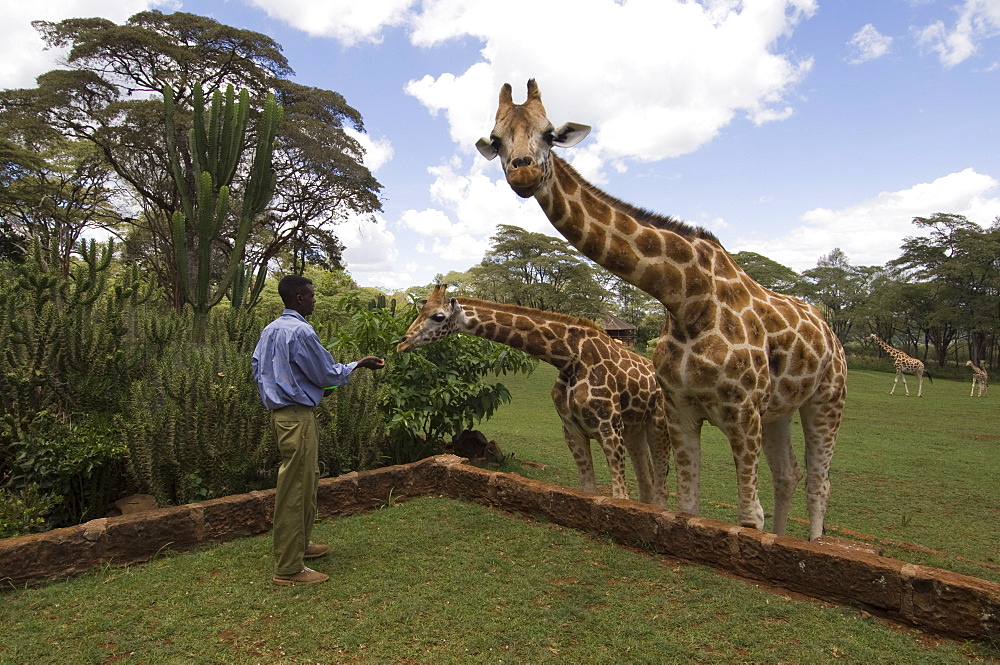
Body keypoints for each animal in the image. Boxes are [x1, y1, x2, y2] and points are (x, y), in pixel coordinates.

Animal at [394, 282, 668, 506]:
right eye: (420, 312)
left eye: (438, 316)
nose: (402, 343)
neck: (569, 358)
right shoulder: (573, 431)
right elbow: (588, 492)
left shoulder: (609, 428)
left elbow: (619, 496)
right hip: (634, 430)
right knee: (647, 482)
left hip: (659, 426)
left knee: (661, 488)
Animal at [476, 81, 844, 540]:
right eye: (496, 139)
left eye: (549, 133)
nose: (522, 172)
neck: (686, 298)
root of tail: (831, 332)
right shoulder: (680, 409)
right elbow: (686, 506)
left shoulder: (741, 412)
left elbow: (747, 517)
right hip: (779, 409)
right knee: (788, 474)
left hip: (827, 399)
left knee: (820, 480)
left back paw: (815, 541)